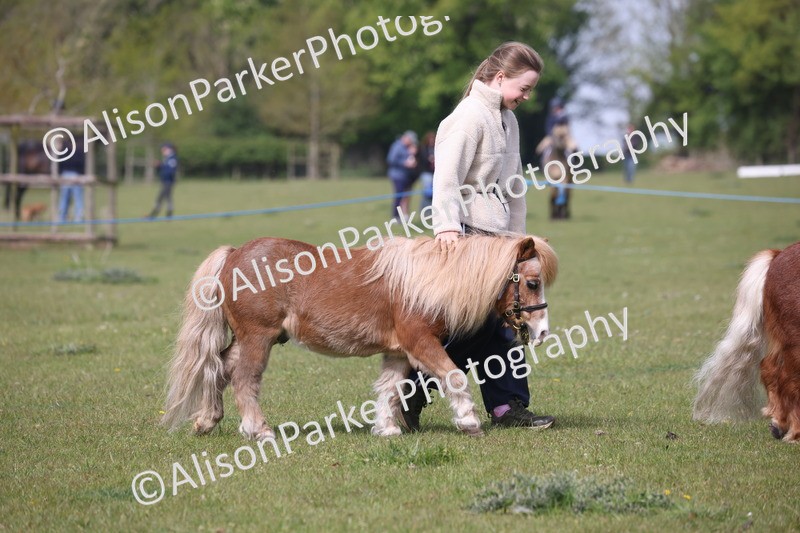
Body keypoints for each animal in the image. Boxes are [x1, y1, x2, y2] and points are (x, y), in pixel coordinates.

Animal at [162, 234, 558, 441]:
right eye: (532, 282)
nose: (541, 332)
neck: (427, 281)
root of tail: (233, 254)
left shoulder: (399, 352)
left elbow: (390, 388)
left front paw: (387, 428)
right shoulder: (421, 343)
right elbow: (455, 377)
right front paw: (468, 421)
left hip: (251, 339)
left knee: (219, 367)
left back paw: (208, 419)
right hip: (257, 338)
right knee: (244, 379)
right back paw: (258, 430)